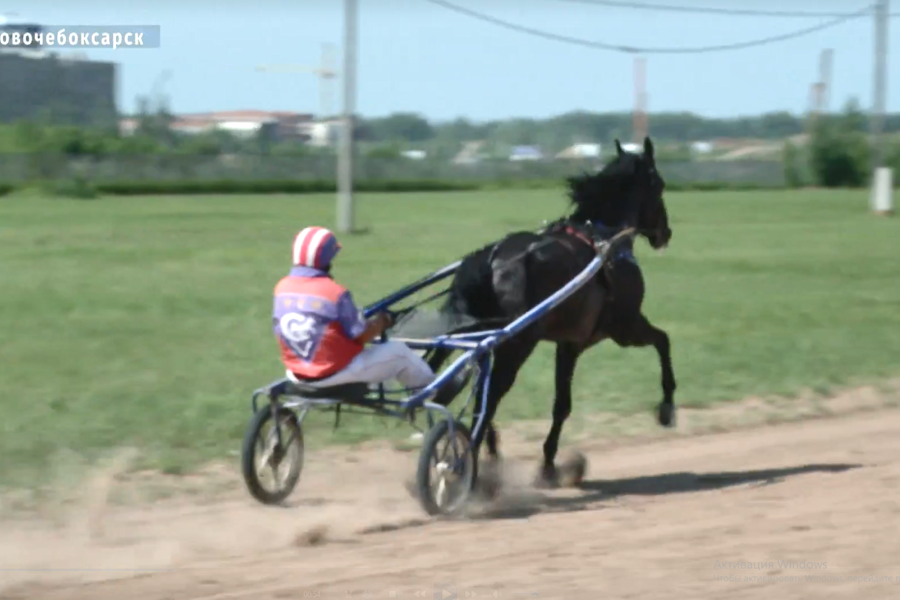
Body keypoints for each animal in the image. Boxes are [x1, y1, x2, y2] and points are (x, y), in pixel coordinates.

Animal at [426, 137, 672, 488]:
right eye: (659, 184)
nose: (665, 233)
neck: (606, 241)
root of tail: (491, 257)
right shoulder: (625, 327)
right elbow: (663, 340)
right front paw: (666, 407)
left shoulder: (569, 343)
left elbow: (561, 404)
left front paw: (549, 465)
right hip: (516, 344)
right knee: (489, 398)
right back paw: (468, 464)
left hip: (481, 334)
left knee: (479, 391)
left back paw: (488, 457)